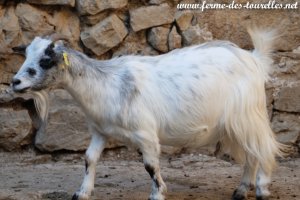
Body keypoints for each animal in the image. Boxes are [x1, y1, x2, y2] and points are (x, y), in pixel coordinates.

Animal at [11, 28, 284, 200]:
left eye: (46, 59)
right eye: (26, 56)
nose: (15, 82)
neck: (107, 84)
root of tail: (253, 58)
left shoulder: (146, 134)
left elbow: (150, 166)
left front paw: (158, 193)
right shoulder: (100, 131)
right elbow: (89, 159)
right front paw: (82, 193)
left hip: (248, 115)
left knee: (263, 148)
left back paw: (262, 189)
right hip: (235, 124)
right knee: (251, 153)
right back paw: (241, 190)